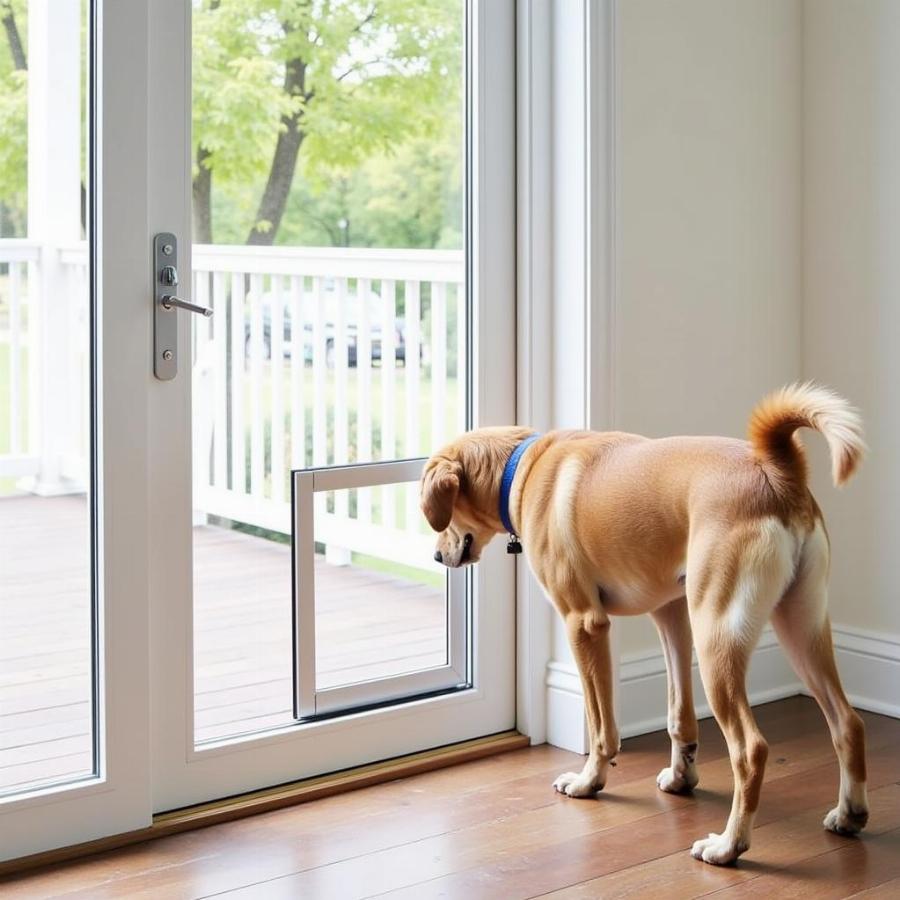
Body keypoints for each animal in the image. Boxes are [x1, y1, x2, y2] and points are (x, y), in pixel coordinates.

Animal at [422, 384, 872, 864]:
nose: (436, 556)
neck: (521, 466)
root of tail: (776, 472)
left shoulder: (584, 624)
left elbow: (601, 725)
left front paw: (589, 781)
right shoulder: (671, 616)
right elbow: (679, 714)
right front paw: (681, 777)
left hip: (717, 640)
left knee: (750, 750)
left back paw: (729, 845)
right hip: (798, 627)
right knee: (847, 722)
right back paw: (850, 814)